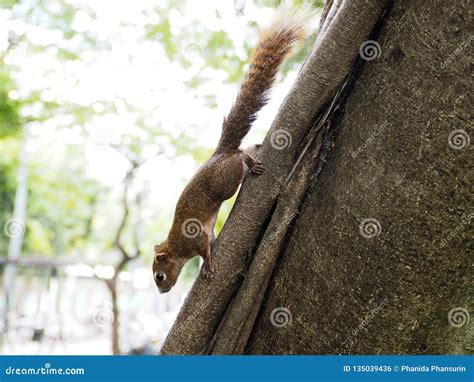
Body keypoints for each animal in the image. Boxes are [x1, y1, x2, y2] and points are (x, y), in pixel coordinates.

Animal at [152, 9, 308, 296]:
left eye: (159, 276)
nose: (162, 291)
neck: (178, 247)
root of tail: (219, 154)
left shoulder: (196, 237)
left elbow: (205, 250)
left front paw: (208, 267)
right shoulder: (207, 234)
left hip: (226, 180)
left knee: (238, 158)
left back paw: (250, 161)